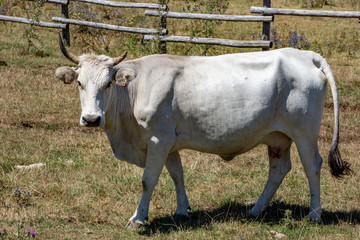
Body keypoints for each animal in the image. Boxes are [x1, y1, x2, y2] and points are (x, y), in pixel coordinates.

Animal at [54, 36, 350, 229]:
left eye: (107, 84)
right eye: (79, 83)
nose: (91, 119)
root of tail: (306, 55)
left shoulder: (158, 139)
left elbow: (149, 180)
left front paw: (137, 218)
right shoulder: (169, 142)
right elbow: (177, 175)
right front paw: (182, 210)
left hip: (304, 133)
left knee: (313, 166)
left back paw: (314, 214)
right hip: (278, 136)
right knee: (278, 169)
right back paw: (255, 210)